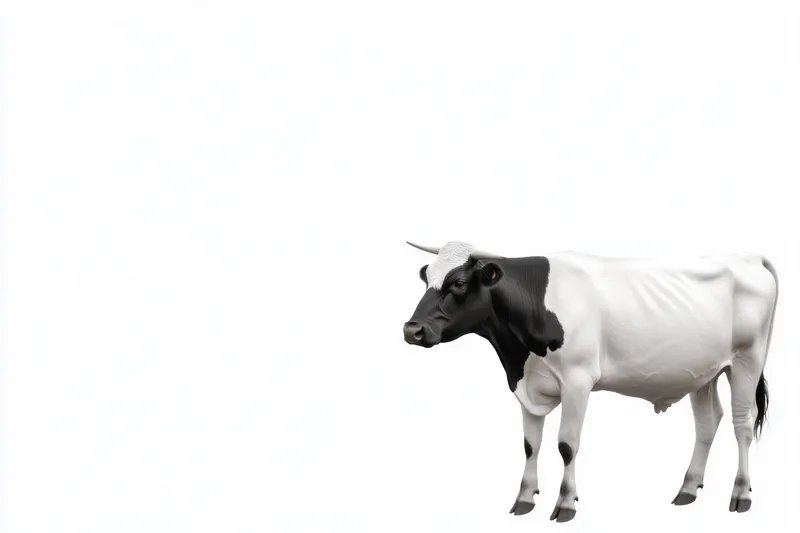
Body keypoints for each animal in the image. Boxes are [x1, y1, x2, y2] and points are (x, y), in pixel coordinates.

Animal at [402, 240, 778, 522]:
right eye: (426, 278)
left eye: (458, 283)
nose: (411, 329)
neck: (517, 352)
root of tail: (747, 257)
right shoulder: (527, 384)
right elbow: (530, 445)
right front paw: (524, 499)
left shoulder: (577, 380)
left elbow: (566, 445)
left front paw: (565, 503)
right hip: (703, 371)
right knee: (707, 422)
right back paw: (688, 488)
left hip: (747, 360)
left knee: (742, 424)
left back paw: (741, 494)